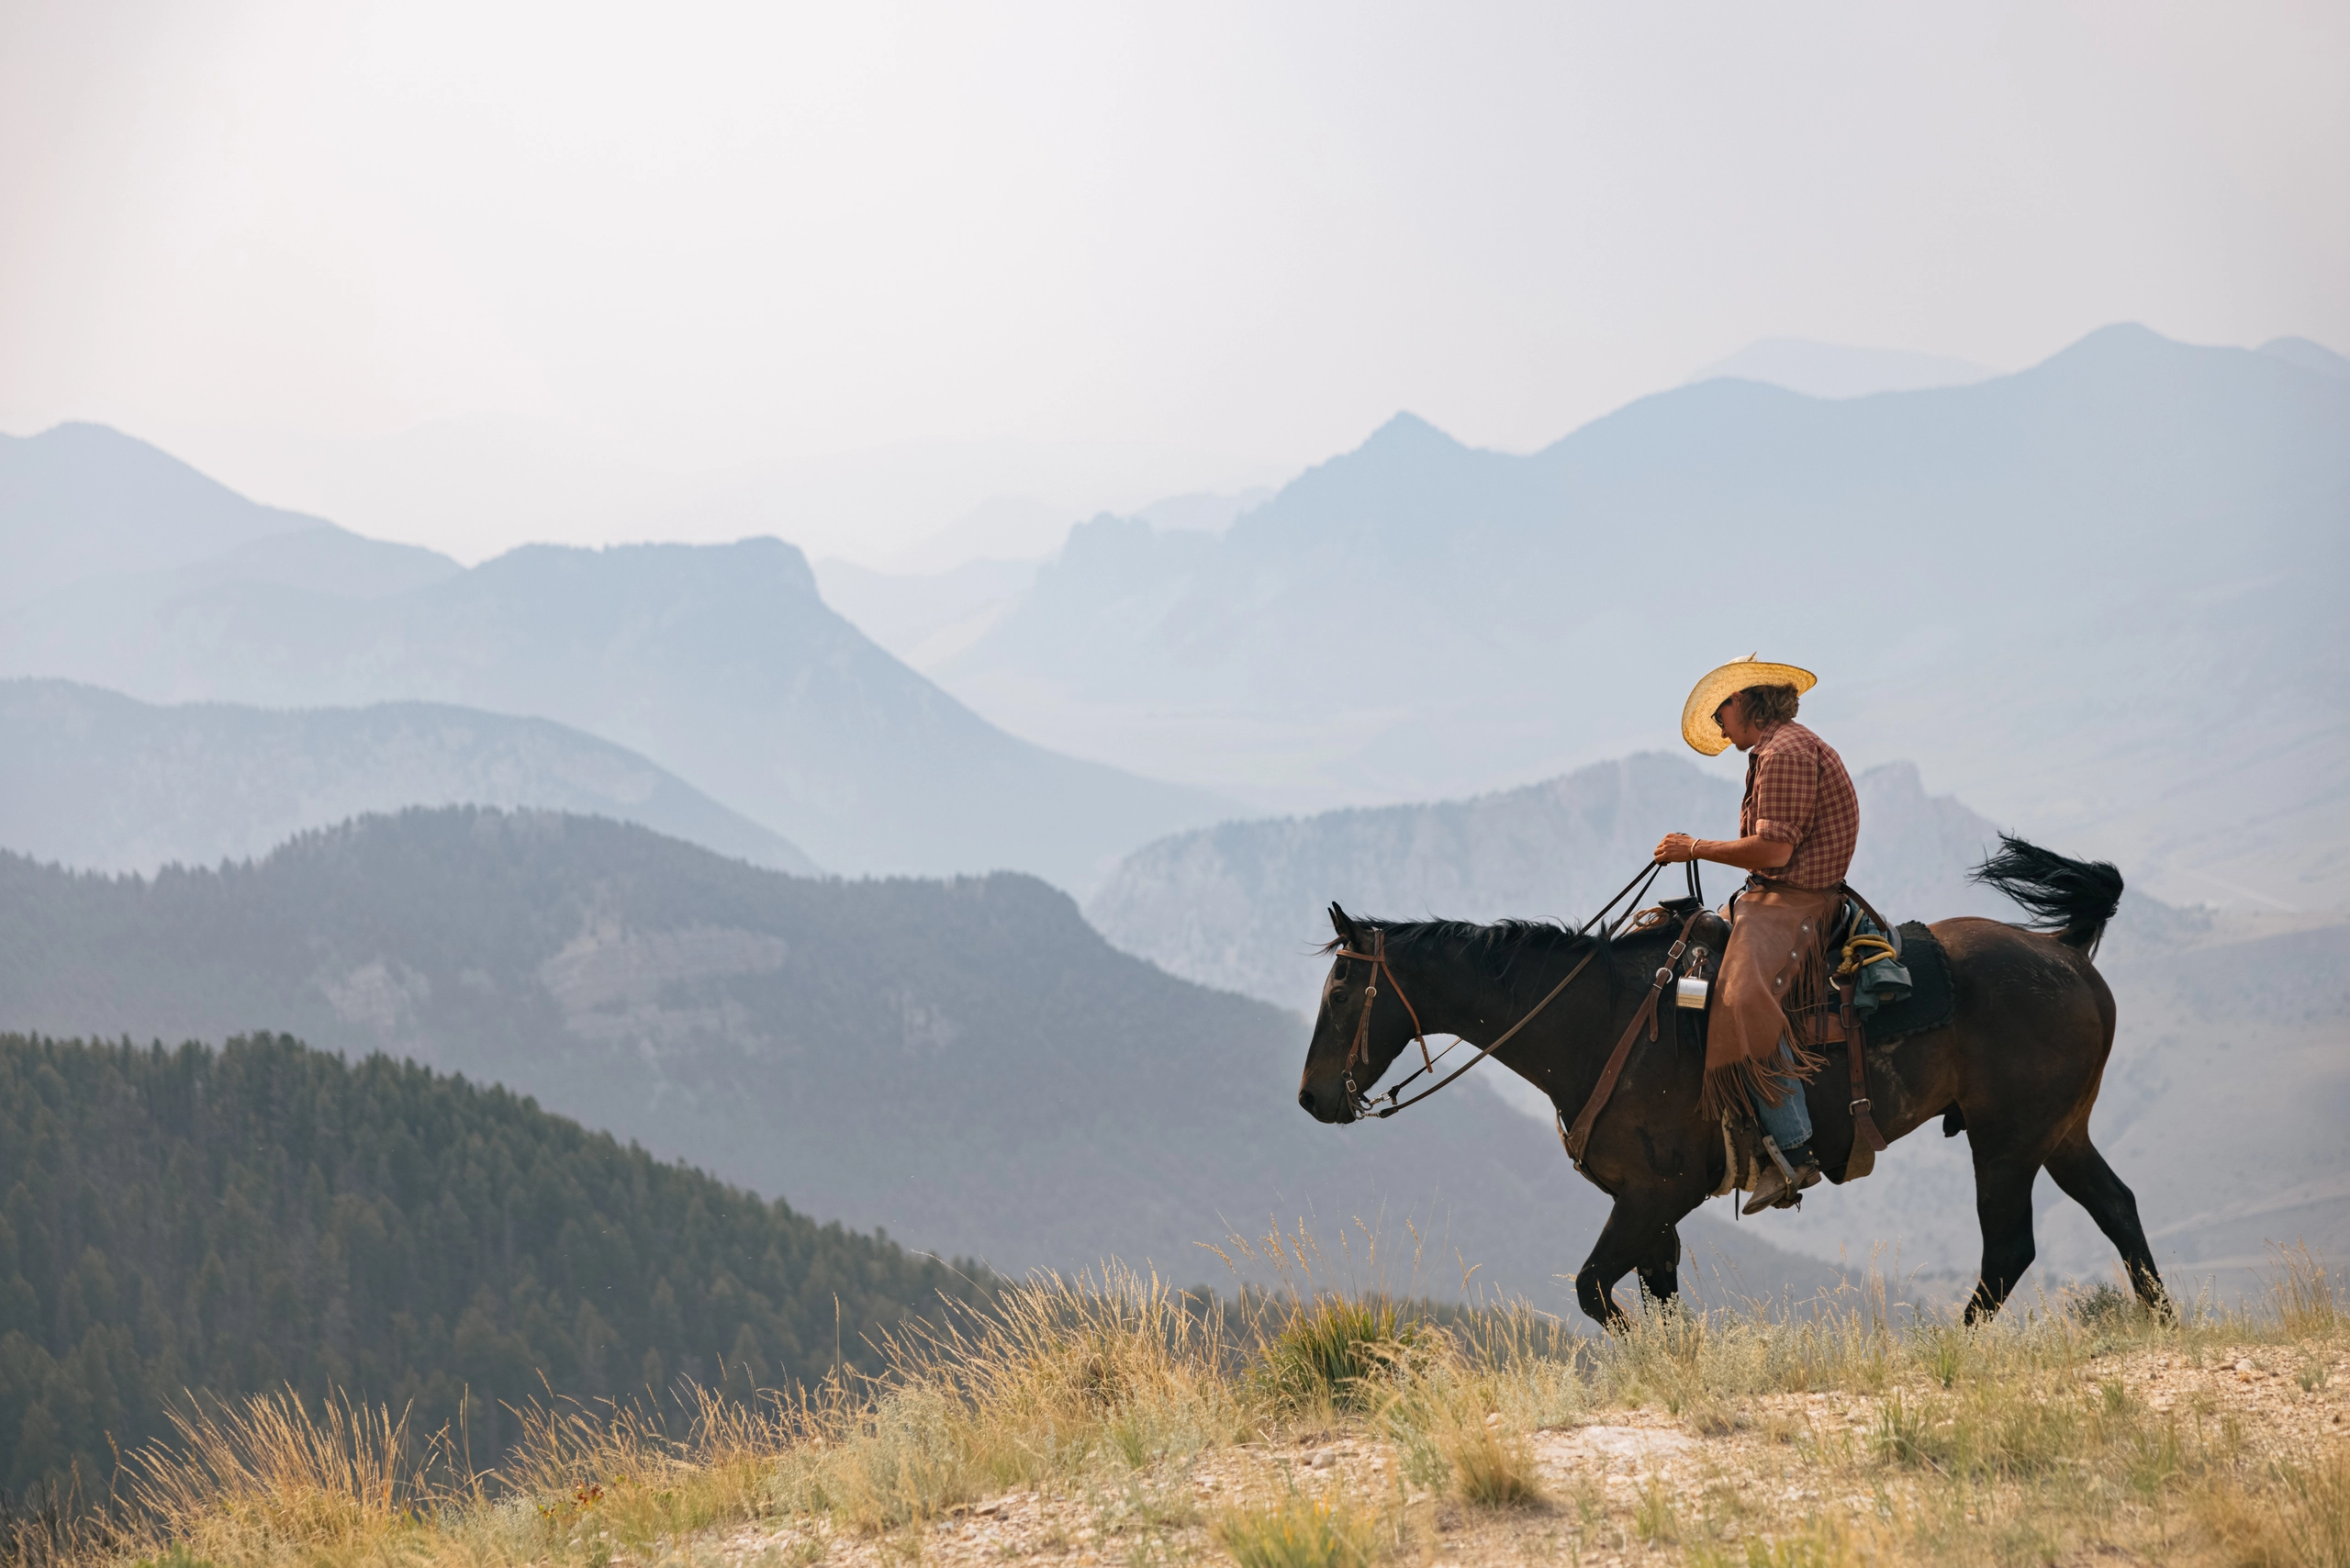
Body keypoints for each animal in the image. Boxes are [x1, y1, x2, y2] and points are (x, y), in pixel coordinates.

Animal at [1297, 841, 2171, 1335]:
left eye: (1340, 990)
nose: (1311, 1099)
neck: (1600, 1021)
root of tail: (2067, 956)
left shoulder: (1658, 1195)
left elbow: (1594, 1291)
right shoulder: (1649, 1208)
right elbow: (1655, 1295)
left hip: (2007, 1140)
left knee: (2009, 1251)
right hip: (2058, 1131)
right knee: (2117, 1206)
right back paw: (2162, 1323)